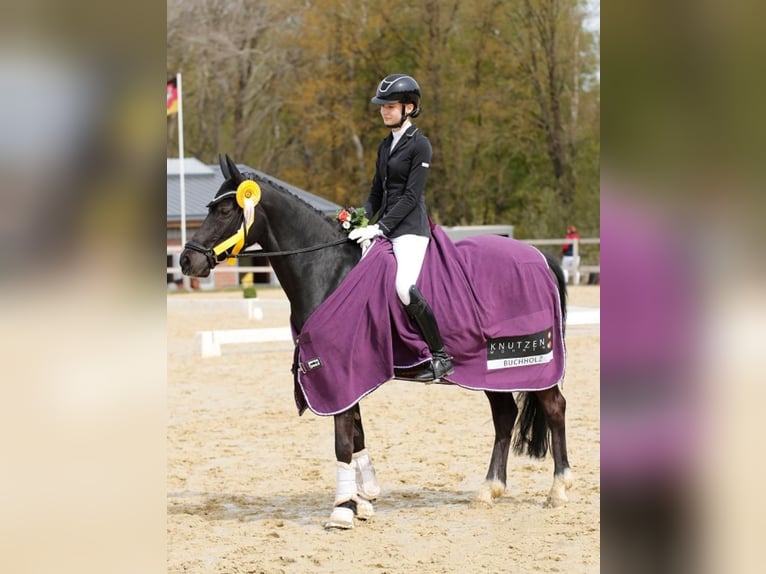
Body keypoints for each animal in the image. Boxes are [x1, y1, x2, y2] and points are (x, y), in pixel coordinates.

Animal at [183, 156, 572, 532]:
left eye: (225, 210)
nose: (188, 260)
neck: (329, 270)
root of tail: (540, 257)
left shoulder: (339, 370)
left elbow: (342, 441)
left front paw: (342, 511)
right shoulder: (348, 373)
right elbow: (356, 435)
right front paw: (363, 500)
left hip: (534, 362)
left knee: (555, 408)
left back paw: (558, 489)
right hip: (491, 370)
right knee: (504, 416)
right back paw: (489, 490)